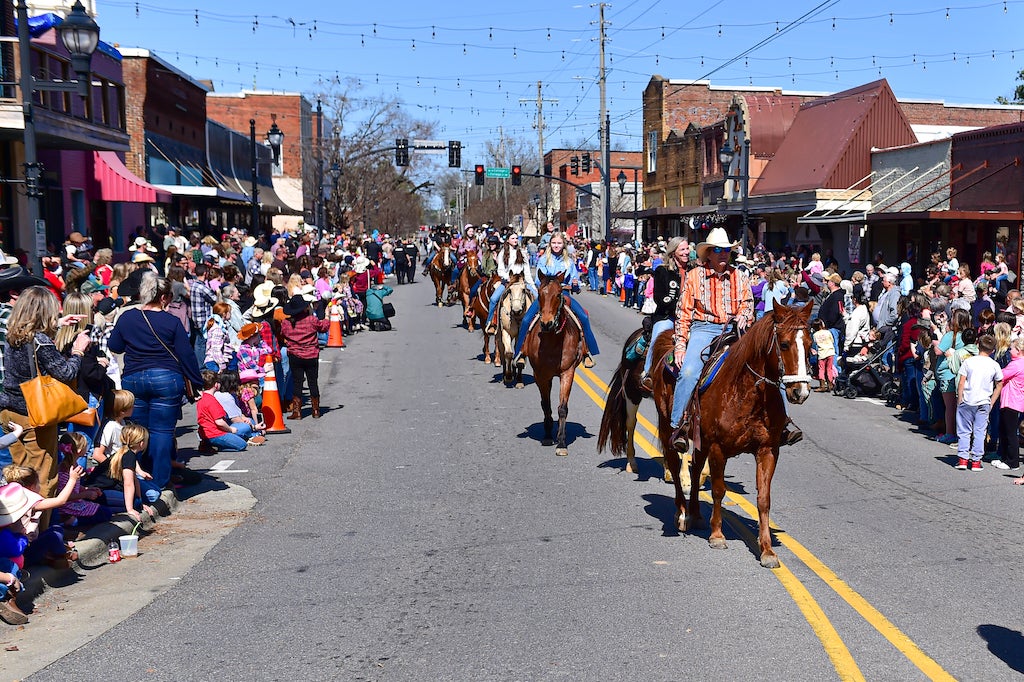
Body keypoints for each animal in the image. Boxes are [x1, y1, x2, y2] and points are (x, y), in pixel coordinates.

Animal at [524, 268, 589, 454]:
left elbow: (562, 408)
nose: (547, 323)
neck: (552, 340)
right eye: (539, 293)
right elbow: (546, 405)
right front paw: (547, 436)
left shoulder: (567, 372)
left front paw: (561, 442)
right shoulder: (540, 375)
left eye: (559, 294)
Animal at [651, 303, 811, 569]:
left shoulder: (767, 450)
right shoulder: (718, 448)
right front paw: (717, 536)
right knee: (674, 465)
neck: (748, 394)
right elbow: (719, 490)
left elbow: (763, 499)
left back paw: (695, 513)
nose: (800, 392)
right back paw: (682, 514)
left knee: (695, 469)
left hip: (701, 440)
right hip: (668, 428)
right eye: (784, 344)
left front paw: (767, 551)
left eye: (809, 344)